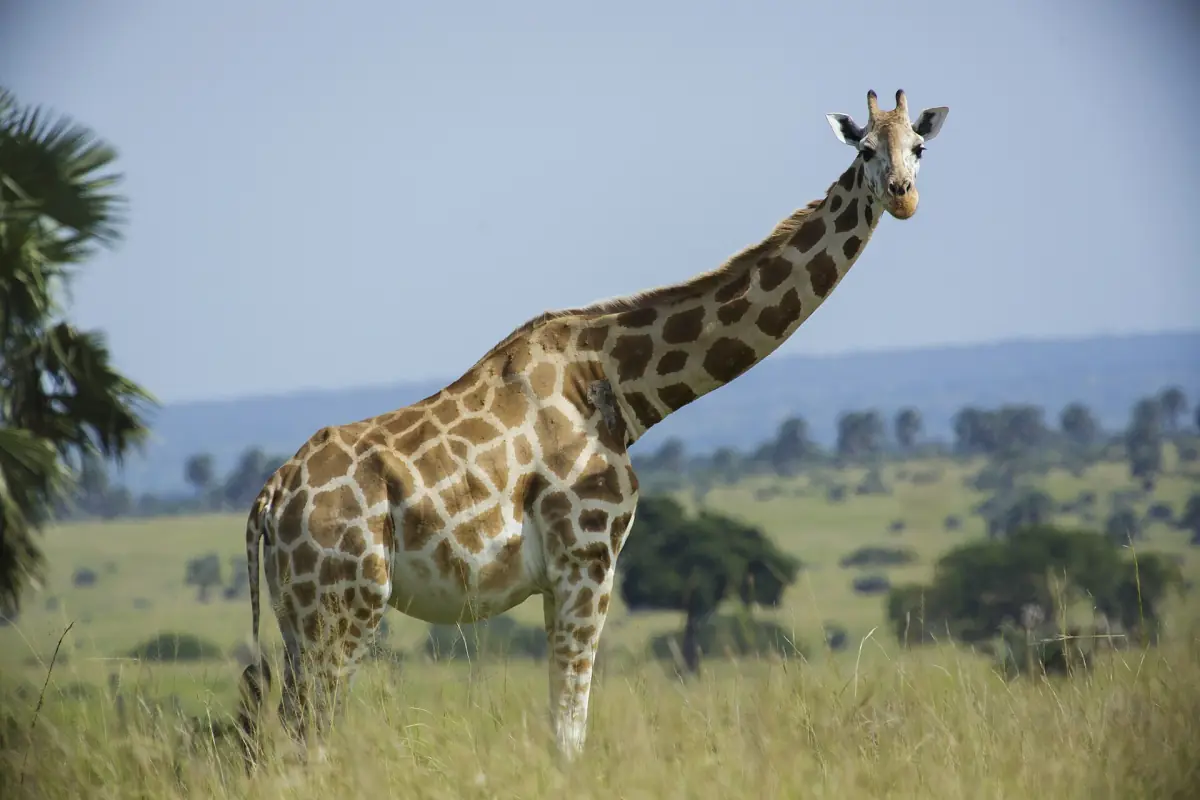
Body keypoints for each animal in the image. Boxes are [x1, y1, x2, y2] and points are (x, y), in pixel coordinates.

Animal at [236, 88, 949, 768]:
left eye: (919, 146)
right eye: (865, 150)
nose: (903, 197)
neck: (620, 386)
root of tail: (270, 499)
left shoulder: (562, 575)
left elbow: (564, 720)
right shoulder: (589, 556)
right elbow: (570, 726)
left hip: (299, 616)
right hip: (346, 605)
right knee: (309, 734)